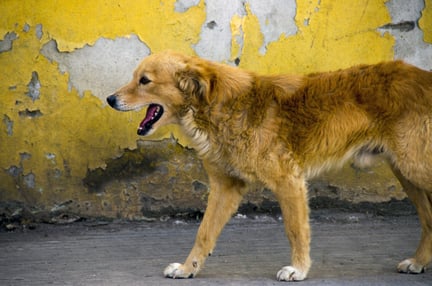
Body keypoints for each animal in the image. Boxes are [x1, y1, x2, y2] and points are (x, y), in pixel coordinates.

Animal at [105, 50, 432, 280]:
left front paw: (298, 270)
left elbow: (296, 230)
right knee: (428, 219)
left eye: (144, 81)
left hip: (415, 168)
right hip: (407, 174)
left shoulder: (289, 181)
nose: (109, 99)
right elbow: (204, 233)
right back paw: (418, 262)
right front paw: (188, 269)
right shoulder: (225, 187)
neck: (214, 107)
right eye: (135, 77)